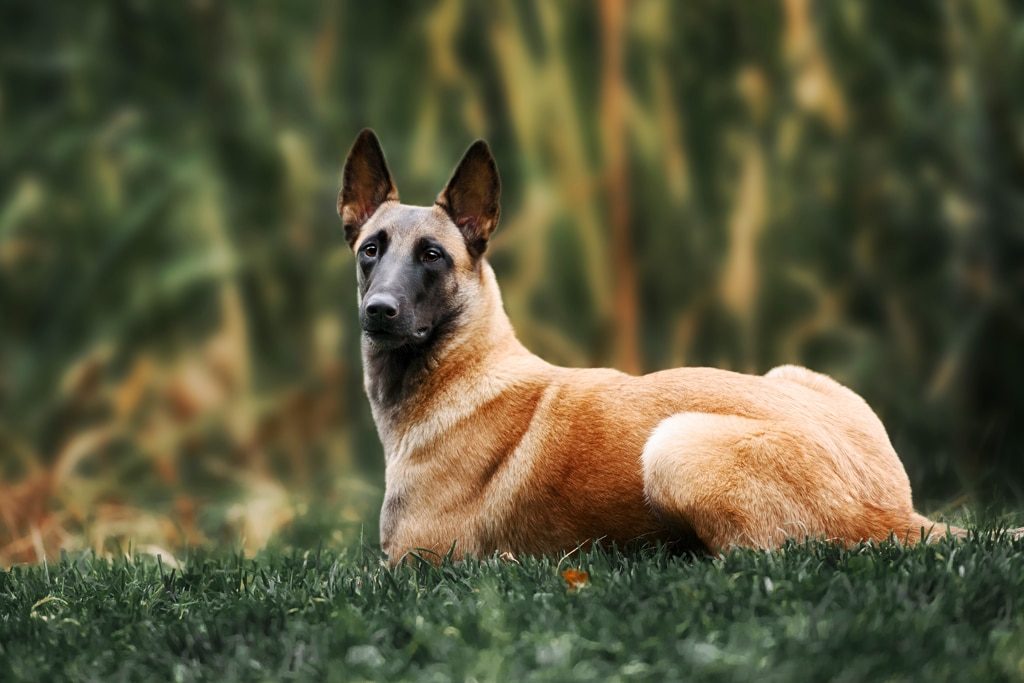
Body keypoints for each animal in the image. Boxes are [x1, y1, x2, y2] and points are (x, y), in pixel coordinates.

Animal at [337, 131, 966, 565]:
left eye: (432, 255)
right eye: (371, 250)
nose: (379, 312)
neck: (460, 365)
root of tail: (891, 509)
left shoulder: (411, 564)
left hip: (673, 446)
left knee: (755, 556)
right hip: (791, 377)